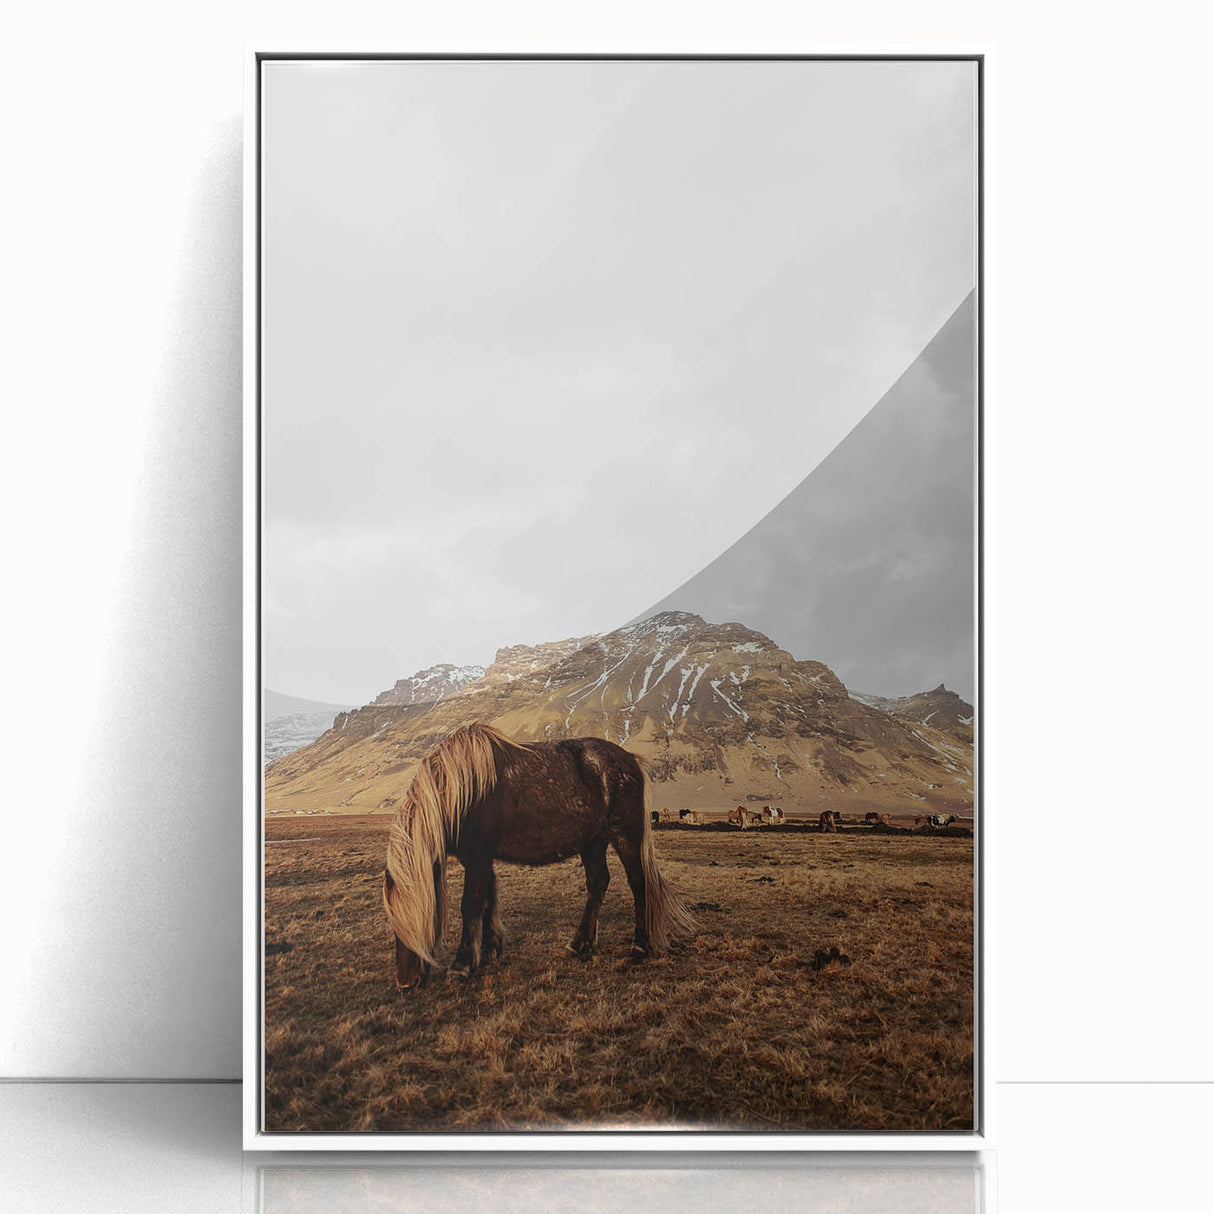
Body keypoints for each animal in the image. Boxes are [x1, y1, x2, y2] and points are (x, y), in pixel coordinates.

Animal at [382, 722, 696, 991]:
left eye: (417, 915)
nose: (405, 983)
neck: (463, 790)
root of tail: (630, 760)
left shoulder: (478, 856)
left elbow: (471, 904)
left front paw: (461, 965)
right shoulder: (482, 859)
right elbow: (489, 899)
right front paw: (490, 950)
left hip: (625, 836)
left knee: (638, 883)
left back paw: (639, 946)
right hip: (593, 842)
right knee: (598, 883)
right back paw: (580, 943)